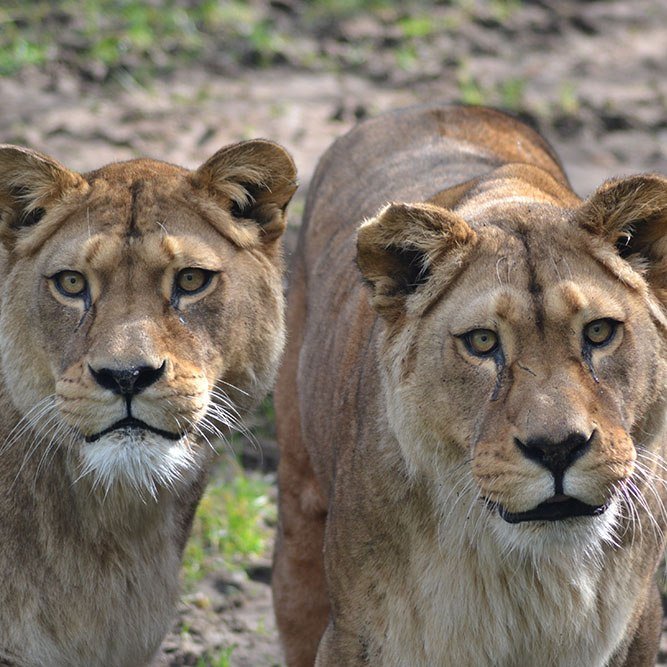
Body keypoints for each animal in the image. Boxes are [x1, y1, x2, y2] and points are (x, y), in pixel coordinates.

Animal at [272, 105, 667, 666]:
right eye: (482, 342)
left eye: (598, 332)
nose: (557, 448)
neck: (532, 577)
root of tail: (425, 106)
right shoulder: (354, 636)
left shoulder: (639, 623)